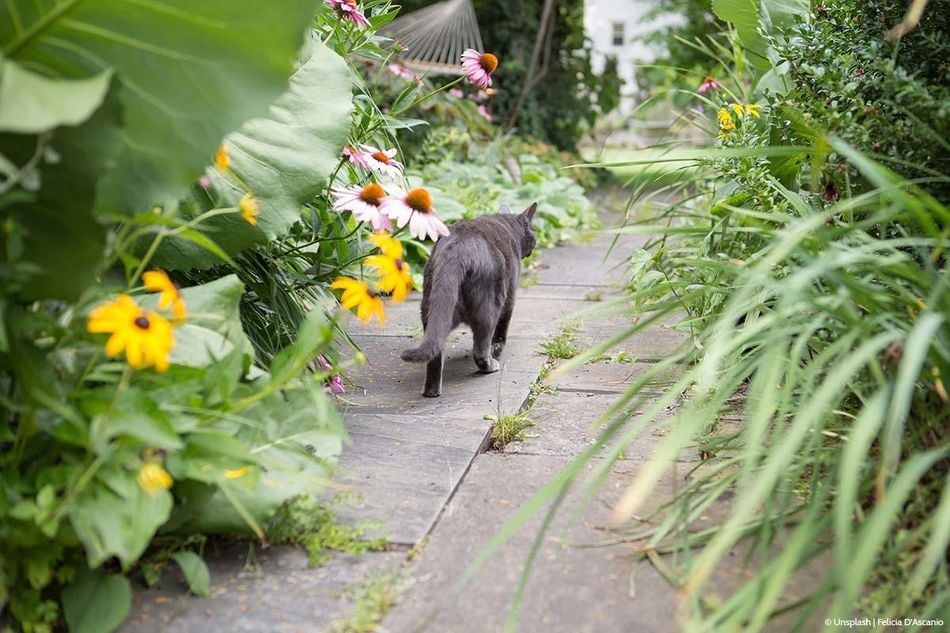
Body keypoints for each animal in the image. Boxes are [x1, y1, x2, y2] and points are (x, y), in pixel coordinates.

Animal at [400, 202, 536, 398]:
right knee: (480, 348)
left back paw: (431, 391)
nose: (533, 245)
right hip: (490, 306)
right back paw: (490, 365)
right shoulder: (510, 297)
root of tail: (457, 251)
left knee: (435, 350)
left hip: (432, 306)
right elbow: (501, 331)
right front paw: (497, 349)